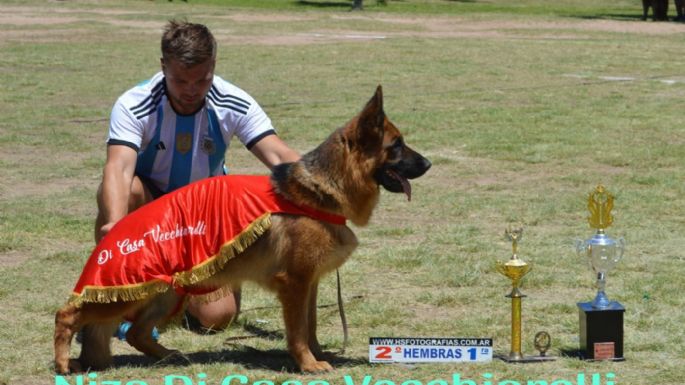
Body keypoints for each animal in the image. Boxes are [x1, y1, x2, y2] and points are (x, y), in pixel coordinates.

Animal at [53, 86, 430, 372]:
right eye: (396, 145)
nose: (428, 163)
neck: (319, 192)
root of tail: (114, 233)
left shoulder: (309, 283)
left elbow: (310, 325)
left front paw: (319, 354)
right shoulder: (294, 284)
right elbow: (297, 331)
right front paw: (308, 364)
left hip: (166, 293)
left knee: (137, 333)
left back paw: (168, 355)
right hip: (126, 292)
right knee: (67, 314)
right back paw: (62, 363)